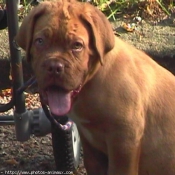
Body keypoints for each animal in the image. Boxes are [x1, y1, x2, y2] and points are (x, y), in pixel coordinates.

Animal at [15, 0, 175, 174]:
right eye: (40, 41)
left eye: (77, 45)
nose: (54, 67)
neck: (92, 81)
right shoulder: (91, 144)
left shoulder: (125, 140)